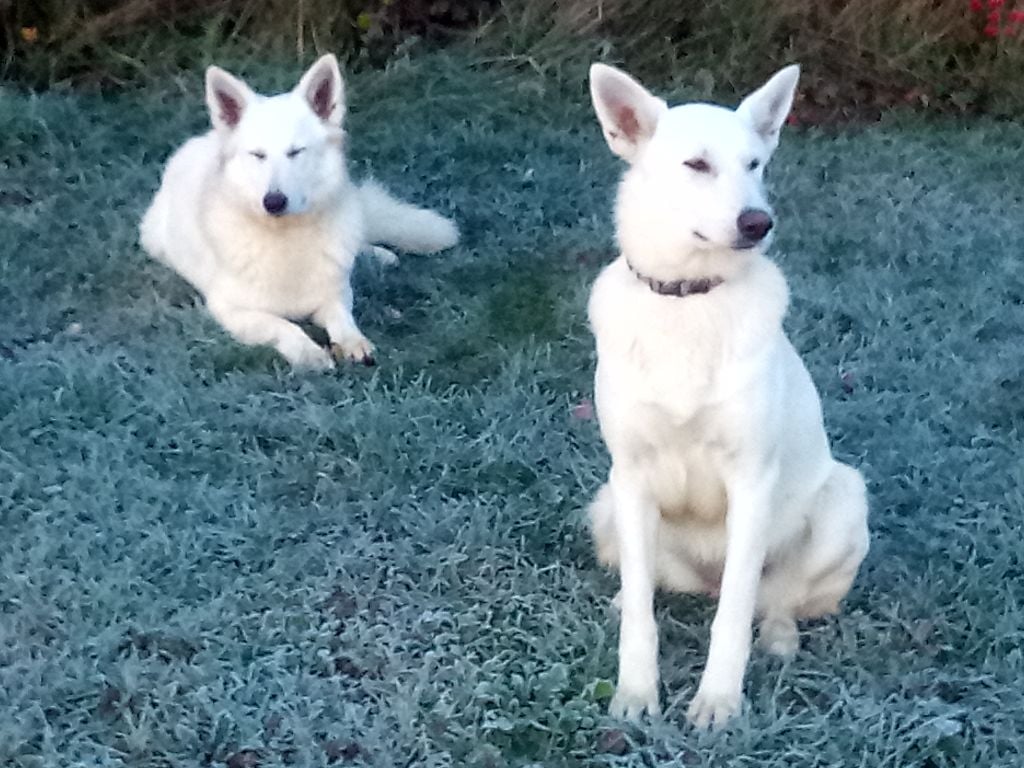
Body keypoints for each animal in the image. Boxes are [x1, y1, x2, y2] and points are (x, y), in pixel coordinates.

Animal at [138, 54, 458, 370]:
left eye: (295, 152)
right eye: (258, 155)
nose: (273, 202)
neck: (286, 238)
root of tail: (200, 141)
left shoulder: (335, 293)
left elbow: (342, 317)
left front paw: (353, 342)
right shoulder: (231, 309)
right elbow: (282, 325)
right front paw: (309, 353)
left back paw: (379, 255)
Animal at [589, 64, 868, 729]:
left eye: (755, 164)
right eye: (697, 164)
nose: (757, 222)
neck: (689, 298)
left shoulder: (751, 480)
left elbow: (734, 617)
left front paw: (718, 701)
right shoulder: (630, 476)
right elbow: (642, 618)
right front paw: (636, 692)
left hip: (844, 501)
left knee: (776, 598)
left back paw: (780, 635)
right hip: (605, 505)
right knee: (650, 585)